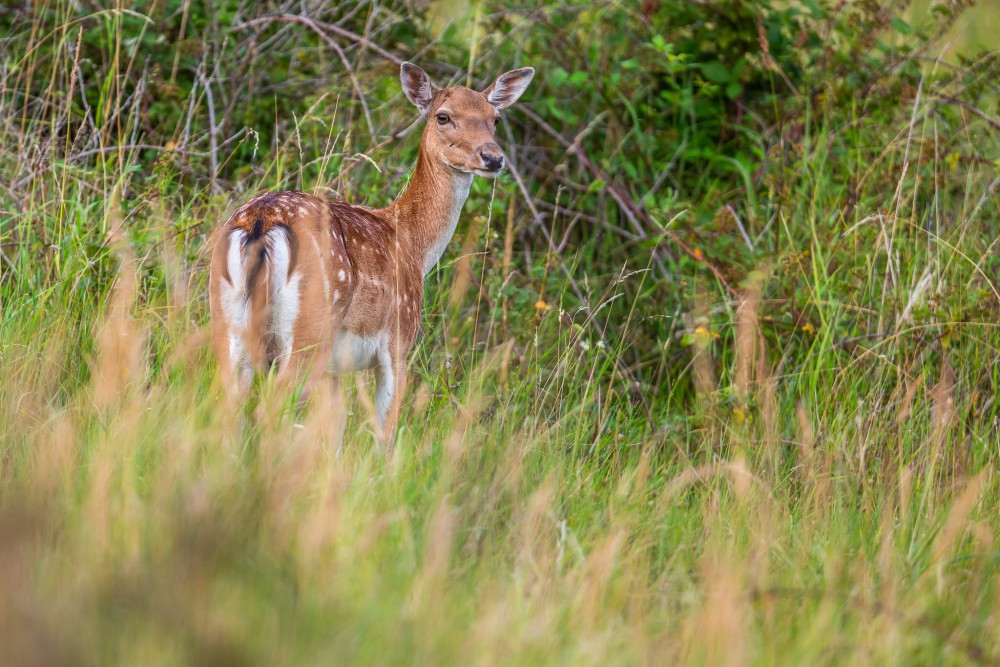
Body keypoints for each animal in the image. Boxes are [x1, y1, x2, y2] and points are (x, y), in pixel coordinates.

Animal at [203, 62, 532, 448]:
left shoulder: (334, 370)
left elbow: (335, 429)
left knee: (225, 409)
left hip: (226, 321)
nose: (493, 157)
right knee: (268, 409)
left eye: (495, 118)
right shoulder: (400, 339)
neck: (413, 245)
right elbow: (384, 433)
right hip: (310, 329)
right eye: (443, 116)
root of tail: (261, 221)